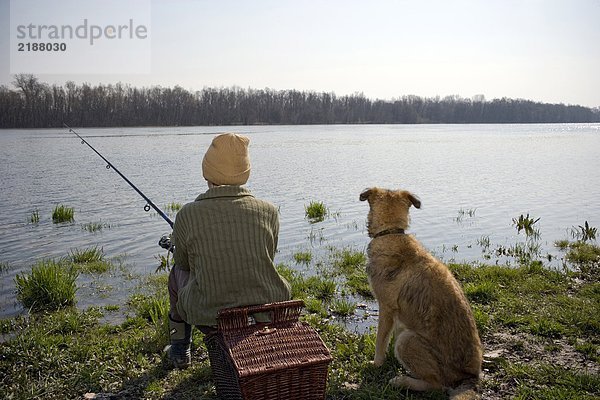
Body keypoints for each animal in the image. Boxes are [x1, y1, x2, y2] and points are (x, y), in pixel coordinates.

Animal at [360, 188, 482, 400]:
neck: (390, 233)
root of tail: (469, 376)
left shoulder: (386, 308)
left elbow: (380, 341)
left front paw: (376, 364)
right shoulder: (400, 314)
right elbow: (392, 335)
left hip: (408, 341)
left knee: (437, 385)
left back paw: (403, 381)